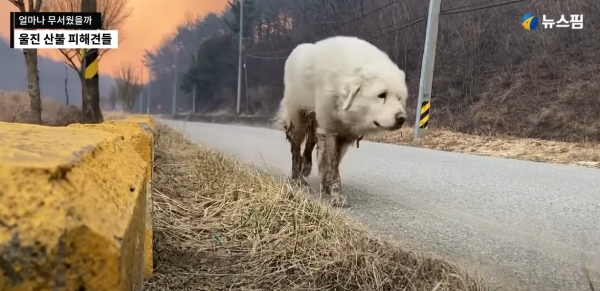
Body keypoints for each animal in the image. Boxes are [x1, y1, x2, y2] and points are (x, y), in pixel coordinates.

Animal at [276, 35, 408, 206]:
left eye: (399, 98)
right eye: (381, 95)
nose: (402, 118)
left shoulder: (344, 134)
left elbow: (333, 161)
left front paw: (327, 186)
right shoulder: (329, 129)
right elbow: (331, 163)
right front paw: (336, 195)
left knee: (310, 142)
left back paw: (306, 168)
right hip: (298, 117)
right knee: (296, 147)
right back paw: (297, 179)